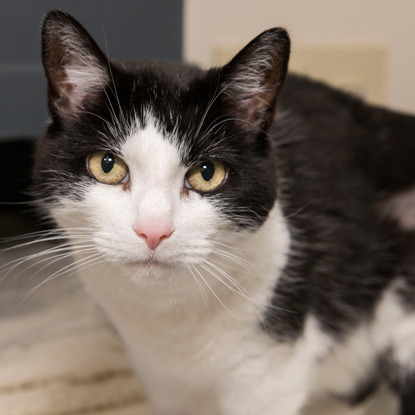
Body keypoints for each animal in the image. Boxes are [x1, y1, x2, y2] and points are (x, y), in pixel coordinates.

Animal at [31, 8, 415, 415]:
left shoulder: (265, 376)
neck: (171, 320)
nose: (153, 231)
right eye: (107, 165)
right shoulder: (164, 384)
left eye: (207, 173)